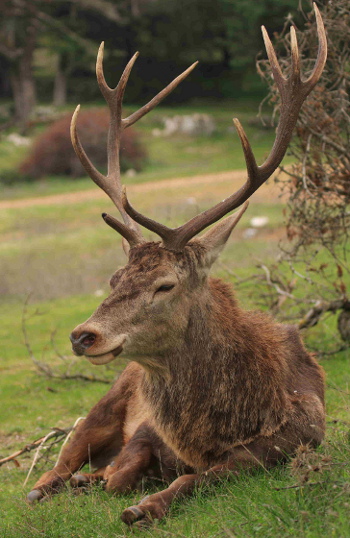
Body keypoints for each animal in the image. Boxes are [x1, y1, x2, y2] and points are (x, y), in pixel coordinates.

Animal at [26, 4, 326, 524]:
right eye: (114, 278)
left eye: (165, 285)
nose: (83, 335)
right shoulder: (146, 430)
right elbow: (121, 474)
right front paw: (120, 488)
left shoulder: (299, 436)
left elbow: (205, 475)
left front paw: (146, 505)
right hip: (104, 403)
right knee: (59, 464)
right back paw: (54, 486)